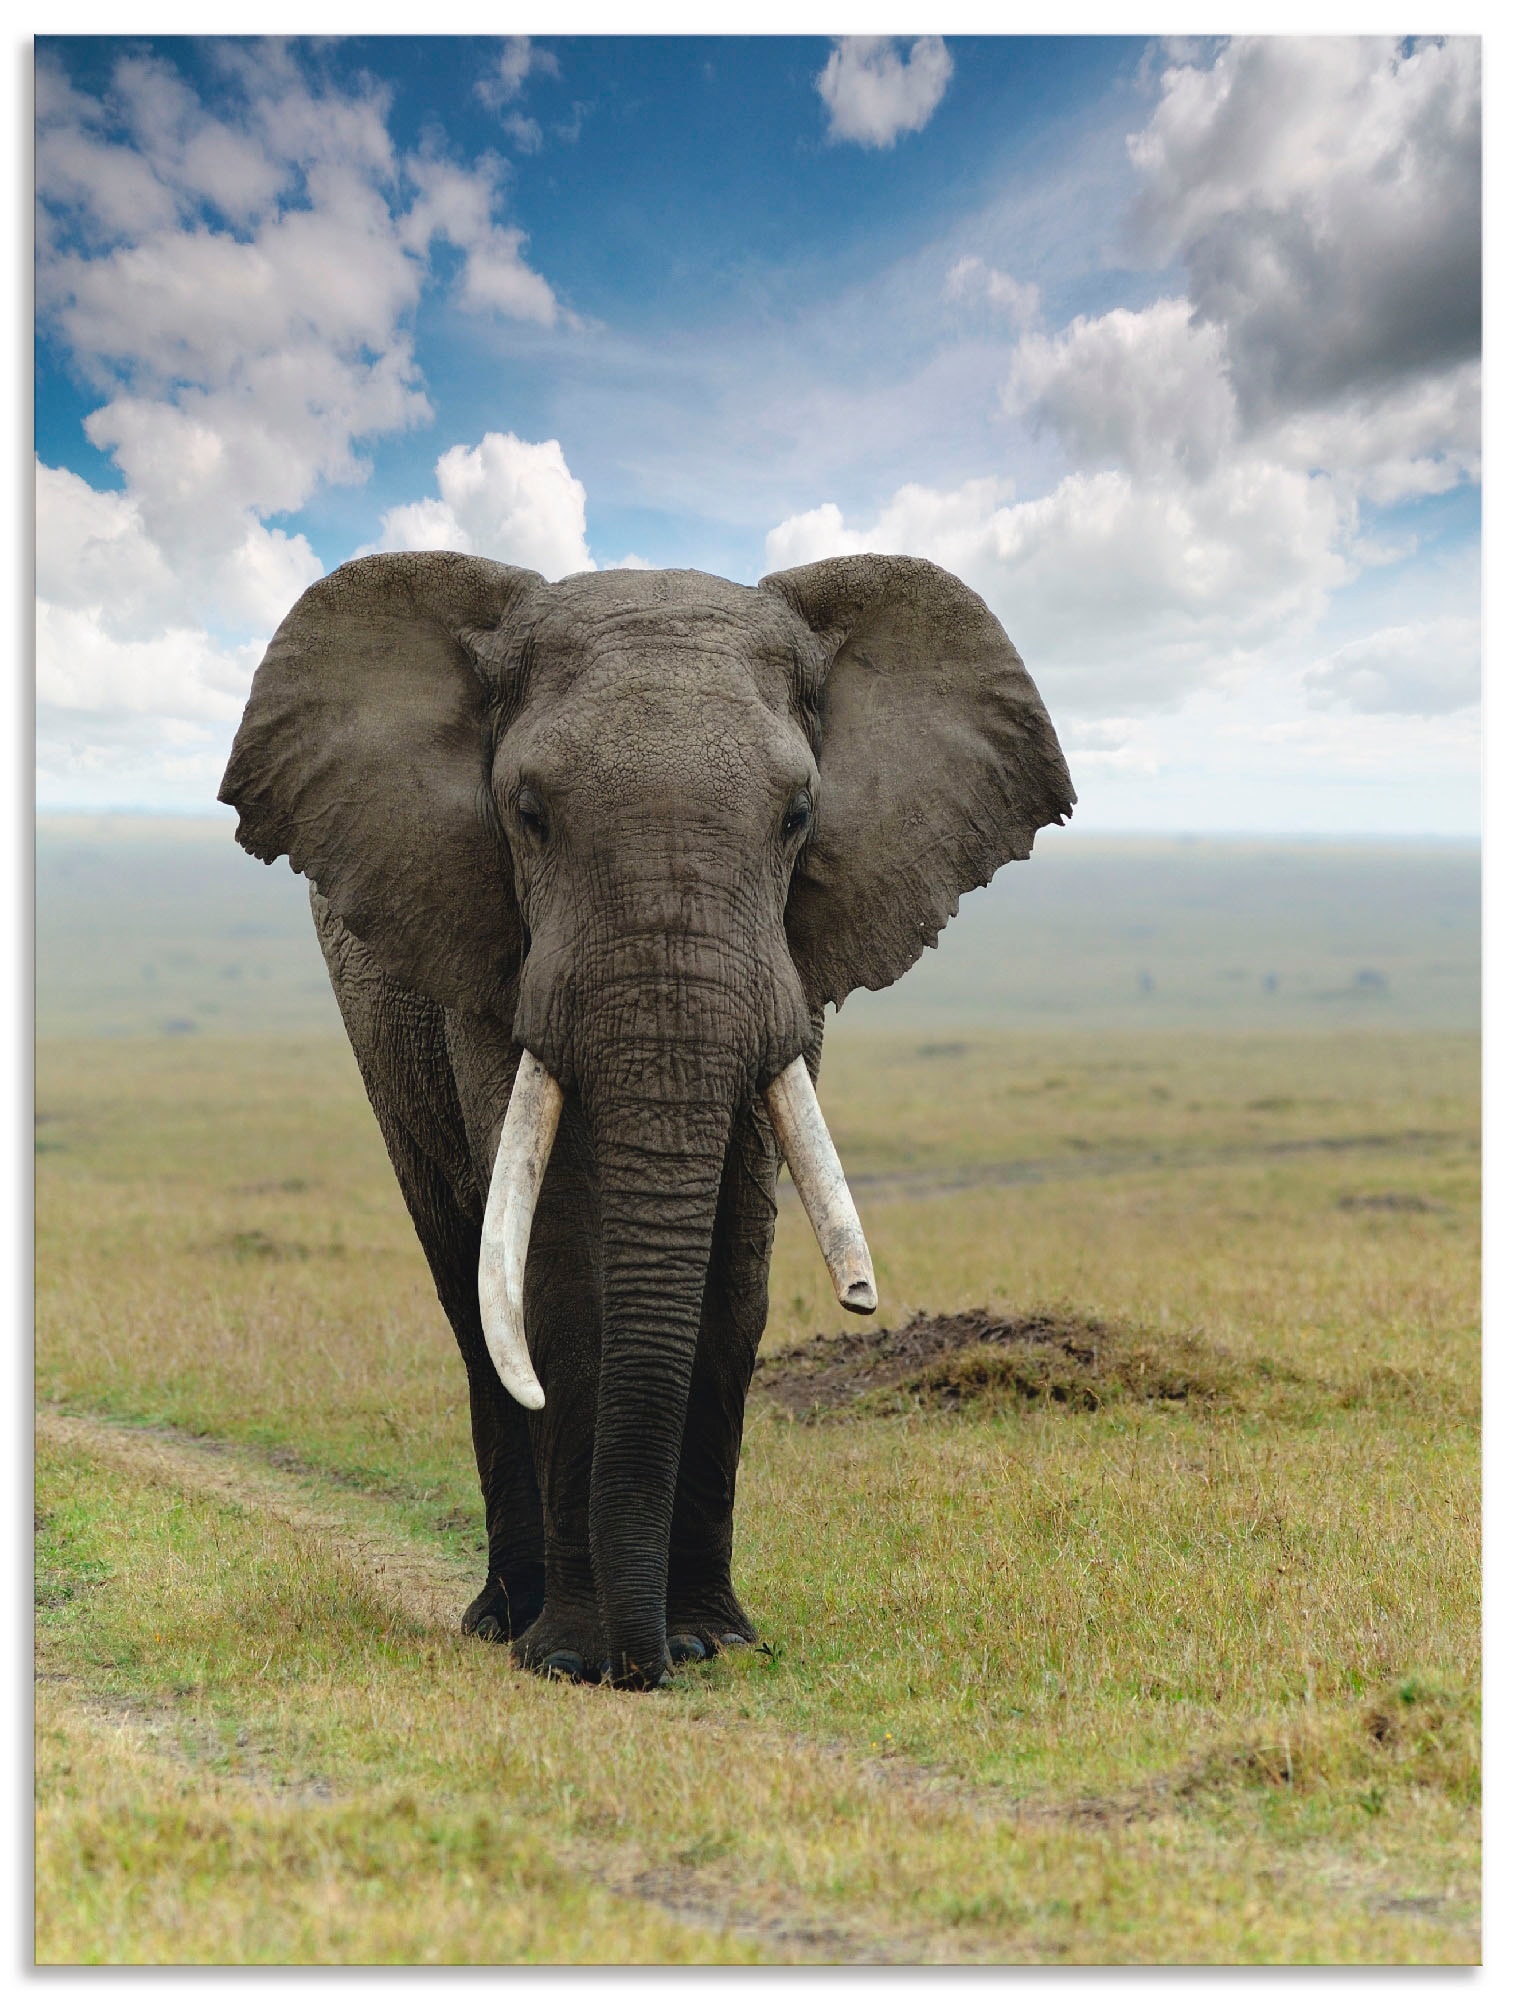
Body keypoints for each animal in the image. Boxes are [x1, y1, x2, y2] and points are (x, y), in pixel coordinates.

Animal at [218, 551, 1074, 1688]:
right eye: (529, 813)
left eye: (797, 816)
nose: (646, 1662)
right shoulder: (488, 952)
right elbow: (553, 1269)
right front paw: (570, 1657)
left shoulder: (792, 968)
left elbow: (735, 1268)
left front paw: (713, 1638)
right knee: (467, 1287)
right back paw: (502, 1618)